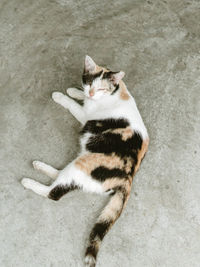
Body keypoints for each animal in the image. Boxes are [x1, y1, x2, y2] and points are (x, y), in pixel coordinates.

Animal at [21, 56, 149, 267]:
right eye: (89, 83)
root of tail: (129, 177)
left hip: (81, 166)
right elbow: (79, 95)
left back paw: (29, 182)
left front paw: (61, 95)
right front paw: (75, 90)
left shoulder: (85, 116)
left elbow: (74, 106)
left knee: (54, 192)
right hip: (79, 164)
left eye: (101, 88)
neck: (116, 92)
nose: (90, 93)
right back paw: (39, 165)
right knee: (60, 175)